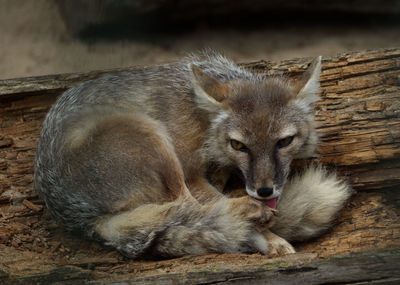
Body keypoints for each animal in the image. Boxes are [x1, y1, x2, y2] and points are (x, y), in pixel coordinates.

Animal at [36, 51, 352, 258]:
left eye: (284, 142)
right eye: (239, 145)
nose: (264, 191)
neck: (201, 119)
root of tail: (84, 221)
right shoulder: (191, 173)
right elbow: (210, 201)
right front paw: (266, 231)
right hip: (148, 133)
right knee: (188, 205)